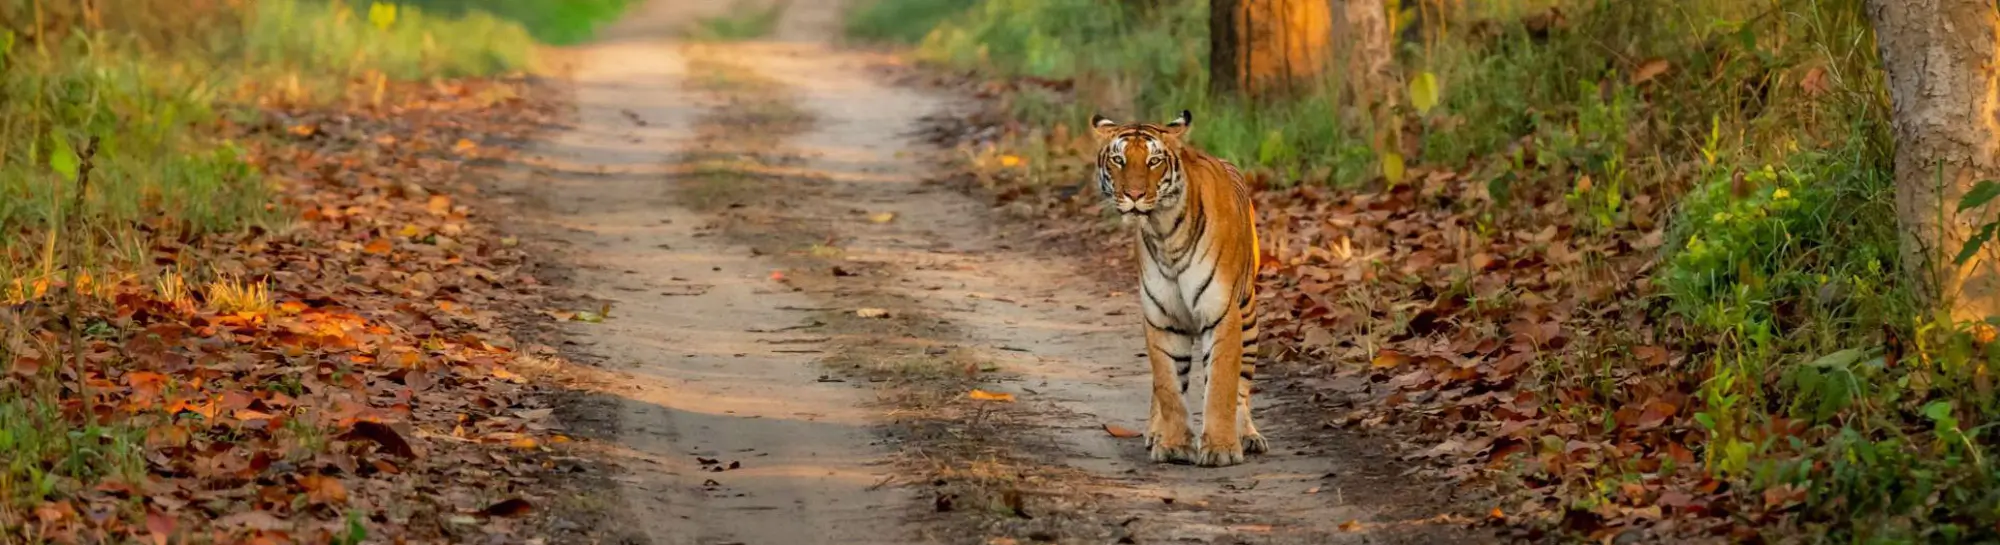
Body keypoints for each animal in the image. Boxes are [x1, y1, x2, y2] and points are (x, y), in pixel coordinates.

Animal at [1090, 110, 1266, 467]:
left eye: (1154, 160)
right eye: (1118, 159)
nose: (1134, 195)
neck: (1164, 230)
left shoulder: (1222, 313)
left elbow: (1222, 385)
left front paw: (1221, 449)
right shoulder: (1162, 318)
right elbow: (1169, 386)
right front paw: (1172, 445)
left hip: (1249, 316)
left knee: (1242, 387)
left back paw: (1248, 436)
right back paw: (1155, 432)